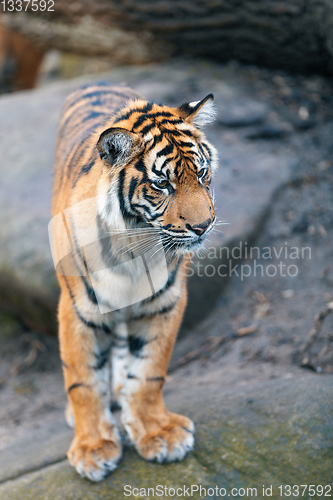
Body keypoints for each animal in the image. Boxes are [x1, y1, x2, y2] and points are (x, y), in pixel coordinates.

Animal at [50, 82, 218, 480]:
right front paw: (93, 448)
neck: (134, 249)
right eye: (162, 184)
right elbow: (82, 380)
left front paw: (158, 432)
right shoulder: (79, 309)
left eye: (202, 173)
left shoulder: (165, 301)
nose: (204, 226)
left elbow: (148, 371)